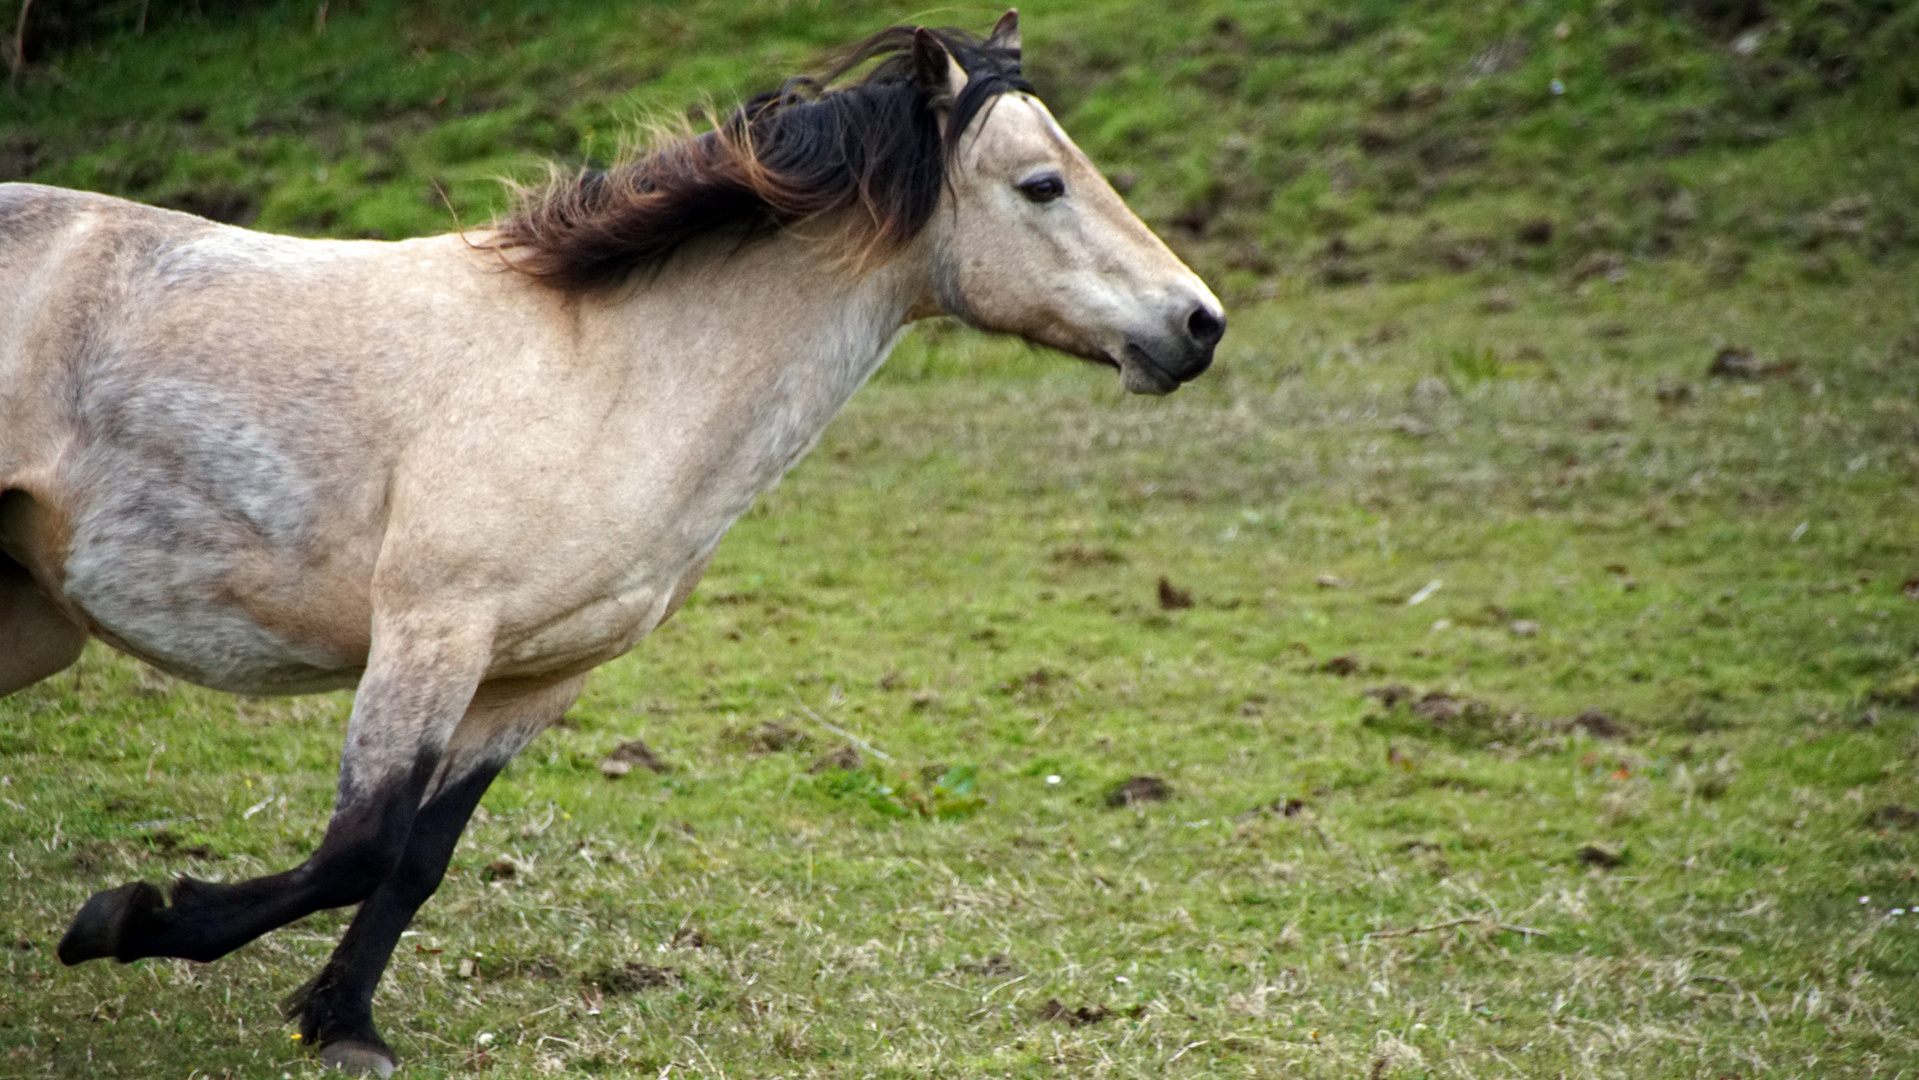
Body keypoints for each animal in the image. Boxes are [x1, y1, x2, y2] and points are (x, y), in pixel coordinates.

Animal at [0, 12, 1220, 1074]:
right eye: (1041, 185)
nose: (1199, 324)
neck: (607, 373)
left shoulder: (538, 675)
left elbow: (417, 860)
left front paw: (341, 1022)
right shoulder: (431, 629)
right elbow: (360, 845)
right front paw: (125, 920)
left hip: (35, 622)